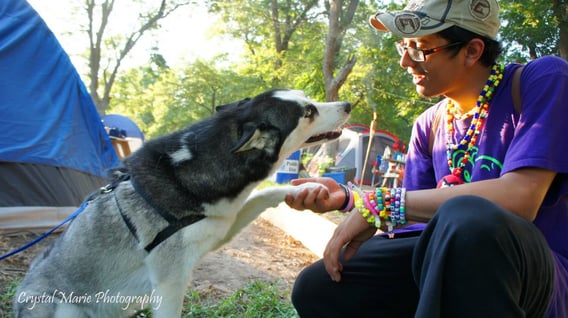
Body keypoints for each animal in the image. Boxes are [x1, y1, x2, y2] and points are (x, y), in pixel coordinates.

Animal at [14, 88, 350, 316]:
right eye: (309, 111)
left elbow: (264, 193)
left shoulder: (221, 229)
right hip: (62, 307)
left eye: (308, 100)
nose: (347, 104)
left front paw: (309, 188)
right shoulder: (169, 282)